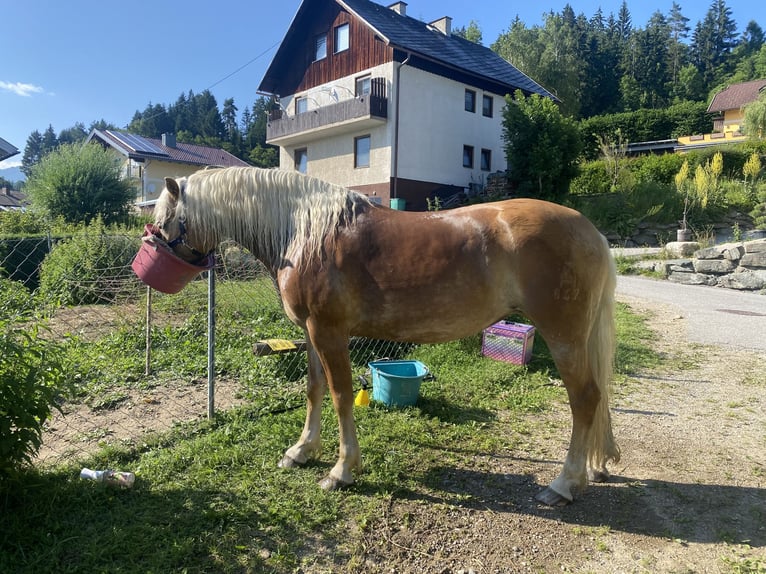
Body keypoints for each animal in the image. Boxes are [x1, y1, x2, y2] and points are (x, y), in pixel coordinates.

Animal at [153, 165, 620, 504]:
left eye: (161, 224)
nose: (152, 264)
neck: (305, 231)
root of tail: (592, 231)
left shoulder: (329, 332)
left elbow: (340, 395)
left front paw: (342, 470)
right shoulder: (310, 333)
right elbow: (313, 390)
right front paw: (301, 451)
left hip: (563, 335)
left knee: (585, 398)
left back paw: (563, 484)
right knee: (598, 396)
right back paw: (594, 468)